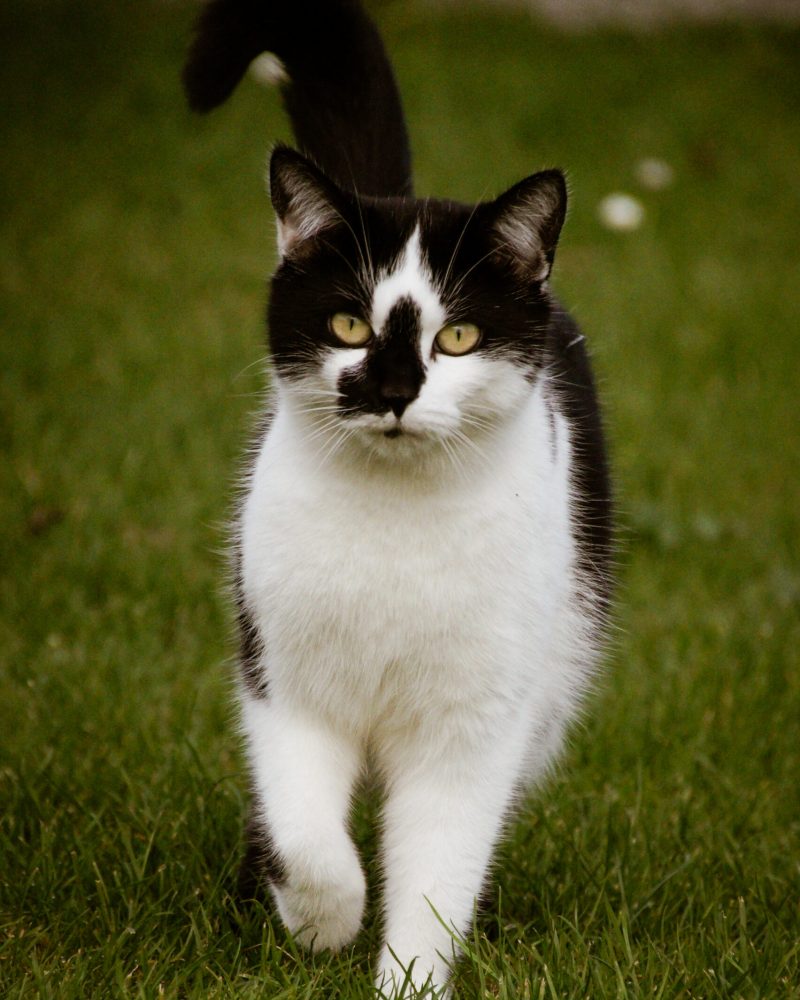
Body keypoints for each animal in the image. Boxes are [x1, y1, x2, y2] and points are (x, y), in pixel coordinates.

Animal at [184, 3, 616, 996]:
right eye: (348, 321)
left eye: (457, 337)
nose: (390, 390)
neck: (395, 525)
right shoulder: (285, 687)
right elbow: (310, 838)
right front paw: (321, 922)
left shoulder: (472, 730)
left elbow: (436, 876)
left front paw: (405, 977)